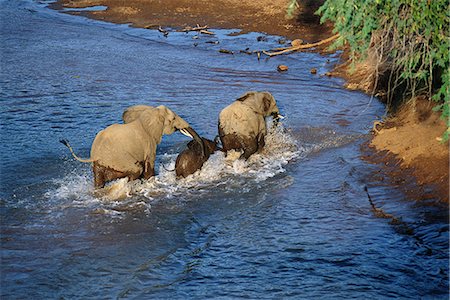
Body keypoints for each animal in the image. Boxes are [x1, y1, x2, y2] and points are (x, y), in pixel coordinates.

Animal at [61, 105, 204, 188]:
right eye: (173, 118)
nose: (201, 154)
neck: (150, 112)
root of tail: (94, 155)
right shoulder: (149, 142)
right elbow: (148, 164)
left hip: (101, 164)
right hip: (119, 159)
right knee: (136, 169)